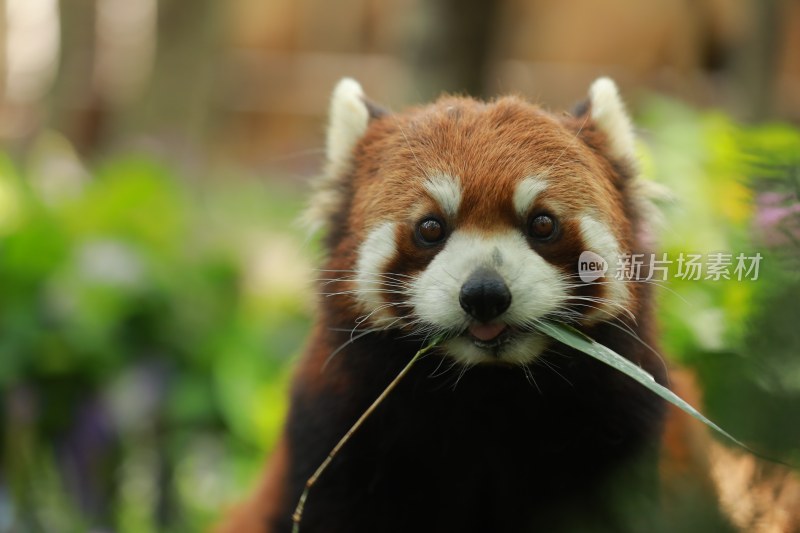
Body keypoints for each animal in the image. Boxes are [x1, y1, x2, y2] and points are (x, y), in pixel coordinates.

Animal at [217, 77, 736, 528]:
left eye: (543, 224)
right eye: (430, 227)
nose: (485, 294)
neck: (486, 394)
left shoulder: (620, 433)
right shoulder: (341, 434)